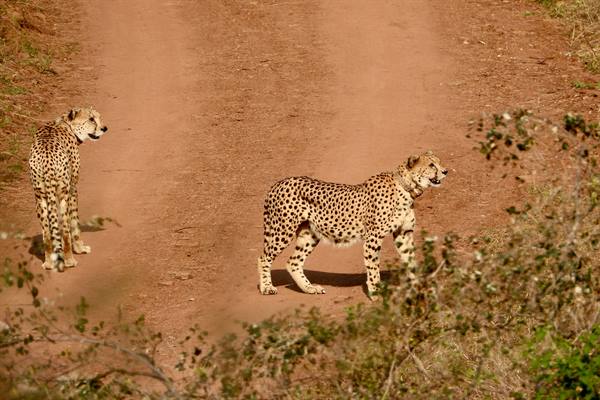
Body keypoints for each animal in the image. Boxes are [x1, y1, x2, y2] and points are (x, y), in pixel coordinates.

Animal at [28, 107, 109, 272]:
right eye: (91, 119)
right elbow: (74, 222)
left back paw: (48, 263)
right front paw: (80, 248)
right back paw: (70, 260)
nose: (104, 128)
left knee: (47, 233)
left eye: (98, 117)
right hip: (62, 195)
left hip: (40, 197)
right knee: (65, 230)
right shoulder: (72, 188)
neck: (66, 124)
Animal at [255, 152, 448, 298]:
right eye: (431, 165)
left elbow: (410, 260)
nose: (445, 171)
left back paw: (310, 288)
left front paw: (418, 286)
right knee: (264, 257)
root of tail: (279, 183)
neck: (406, 188)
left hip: (310, 234)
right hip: (282, 230)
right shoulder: (373, 237)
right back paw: (267, 287)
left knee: (293, 262)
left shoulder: (403, 233)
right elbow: (373, 266)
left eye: (438, 162)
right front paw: (375, 292)